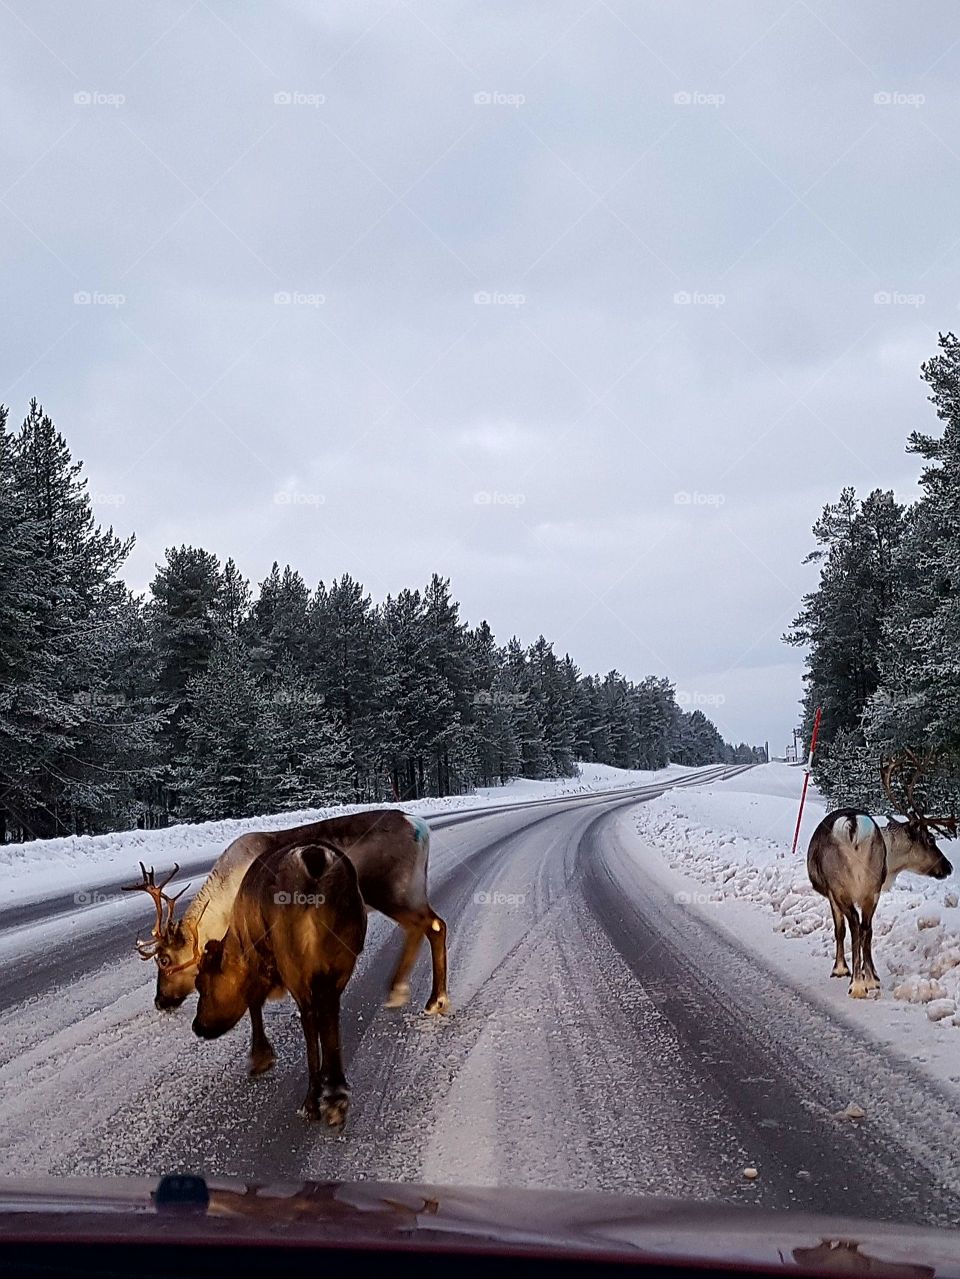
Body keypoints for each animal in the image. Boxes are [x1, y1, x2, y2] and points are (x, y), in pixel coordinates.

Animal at [123, 810, 449, 1075]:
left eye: (164, 960)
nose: (160, 1001)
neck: (225, 901)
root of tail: (421, 827)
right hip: (407, 894)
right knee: (420, 928)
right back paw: (398, 990)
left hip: (393, 892)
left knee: (434, 926)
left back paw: (435, 1000)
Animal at [192, 839, 367, 1126]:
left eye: (201, 984)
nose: (197, 1026)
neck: (236, 944)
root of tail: (315, 861)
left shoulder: (257, 960)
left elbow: (253, 1002)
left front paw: (261, 1057)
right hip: (342, 958)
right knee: (329, 1012)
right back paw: (334, 1093)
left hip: (295, 961)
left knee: (310, 1016)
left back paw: (314, 1101)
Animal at [807, 752, 955, 999]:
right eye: (931, 839)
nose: (949, 867)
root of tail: (853, 825)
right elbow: (855, 930)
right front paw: (867, 976)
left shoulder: (835, 893)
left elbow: (841, 930)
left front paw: (842, 970)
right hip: (866, 889)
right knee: (865, 929)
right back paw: (869, 980)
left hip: (843, 887)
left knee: (856, 926)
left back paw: (857, 985)